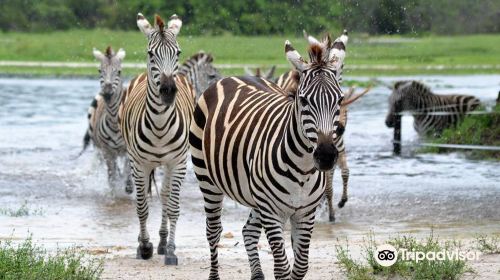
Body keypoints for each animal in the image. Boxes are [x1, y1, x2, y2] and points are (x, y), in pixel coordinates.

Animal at [79, 46, 133, 195]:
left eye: (119, 71)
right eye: (99, 70)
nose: (107, 93)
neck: (115, 122)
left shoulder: (128, 150)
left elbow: (128, 170)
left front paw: (129, 186)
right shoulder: (107, 151)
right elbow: (111, 177)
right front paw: (113, 193)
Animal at [118, 12, 194, 264]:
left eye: (178, 53)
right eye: (151, 54)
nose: (168, 91)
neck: (160, 125)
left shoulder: (178, 163)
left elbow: (173, 205)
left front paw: (169, 249)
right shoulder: (138, 163)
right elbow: (141, 207)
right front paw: (144, 246)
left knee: (166, 195)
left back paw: (162, 241)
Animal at [189, 37, 346, 280]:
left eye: (339, 99)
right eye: (303, 100)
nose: (326, 155)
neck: (303, 169)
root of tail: (231, 77)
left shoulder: (305, 213)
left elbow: (300, 266)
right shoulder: (272, 212)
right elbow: (282, 269)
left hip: (256, 196)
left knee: (248, 231)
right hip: (208, 180)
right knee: (213, 231)